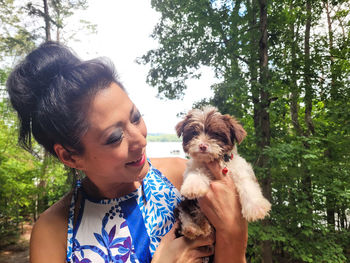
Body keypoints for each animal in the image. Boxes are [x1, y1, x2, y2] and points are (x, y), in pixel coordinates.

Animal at [175, 106, 270, 240]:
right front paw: (193, 186)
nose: (202, 146)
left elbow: (247, 185)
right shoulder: (195, 166)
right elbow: (197, 171)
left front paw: (255, 207)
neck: (217, 161)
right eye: (194, 133)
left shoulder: (240, 171)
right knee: (184, 215)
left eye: (215, 134)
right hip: (185, 204)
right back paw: (193, 229)